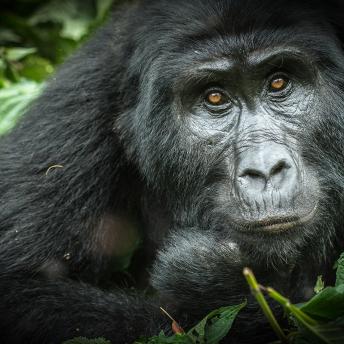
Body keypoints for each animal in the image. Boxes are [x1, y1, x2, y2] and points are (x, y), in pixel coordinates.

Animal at [0, 0, 344, 342]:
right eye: (214, 97)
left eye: (278, 83)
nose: (265, 170)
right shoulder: (83, 96)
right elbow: (20, 288)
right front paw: (221, 287)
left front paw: (215, 283)